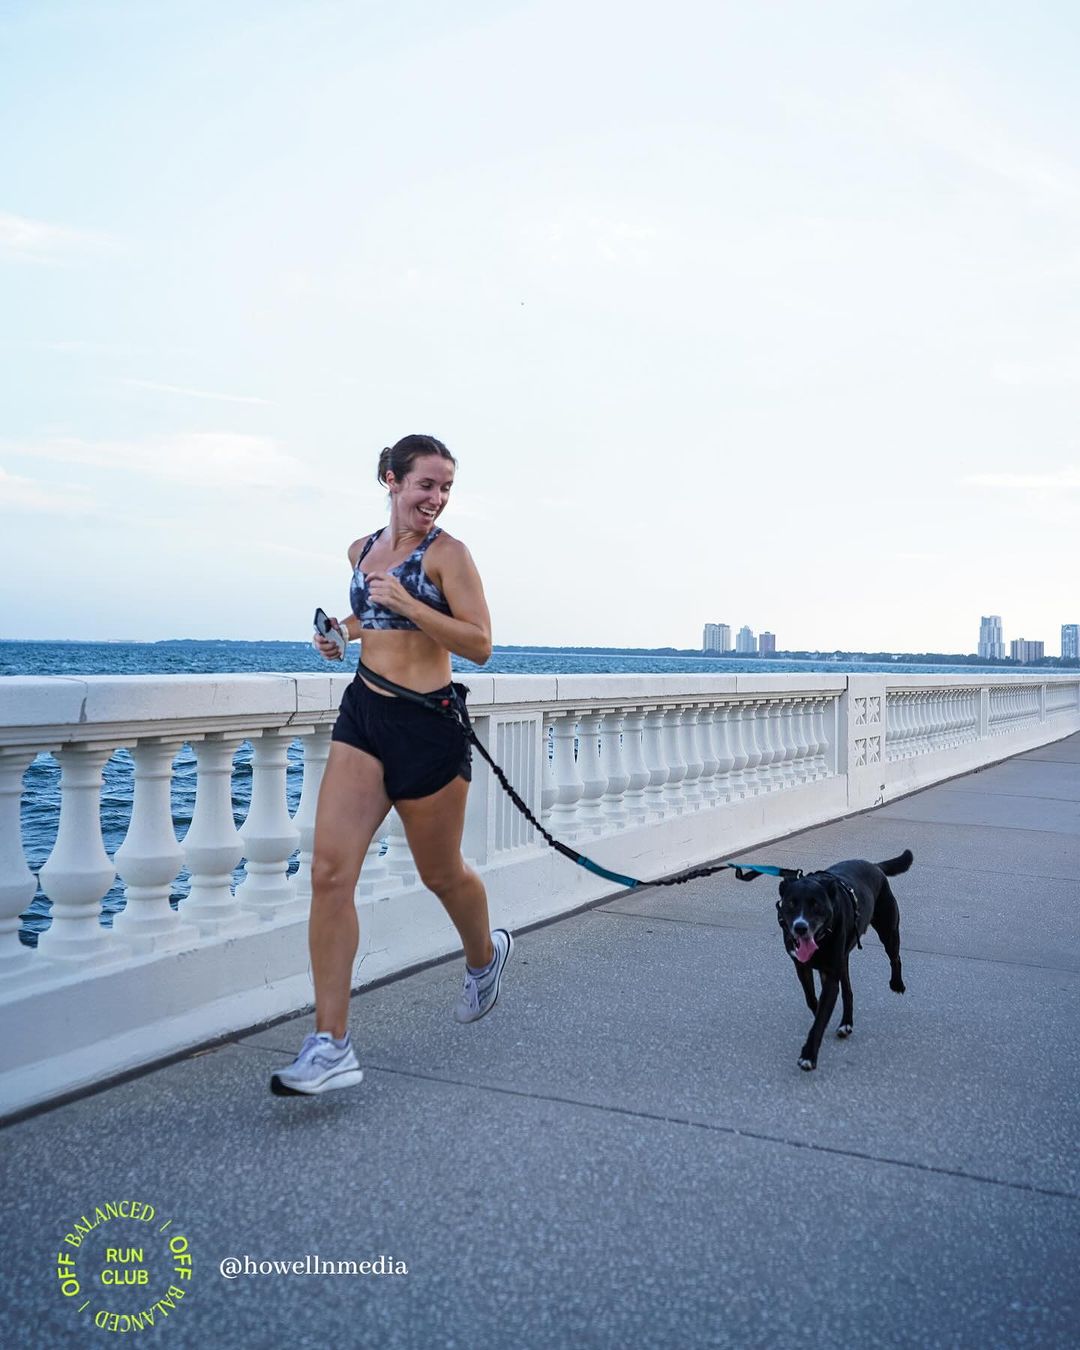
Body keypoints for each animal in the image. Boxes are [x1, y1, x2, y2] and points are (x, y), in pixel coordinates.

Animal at [772, 847, 918, 1069]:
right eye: (791, 904)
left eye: (816, 905)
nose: (800, 927)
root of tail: (874, 866)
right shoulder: (803, 967)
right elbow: (812, 1000)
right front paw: (819, 1015)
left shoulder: (830, 975)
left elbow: (821, 1016)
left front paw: (809, 1055)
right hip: (843, 959)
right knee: (848, 991)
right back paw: (846, 1024)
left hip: (888, 929)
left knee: (895, 957)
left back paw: (897, 983)